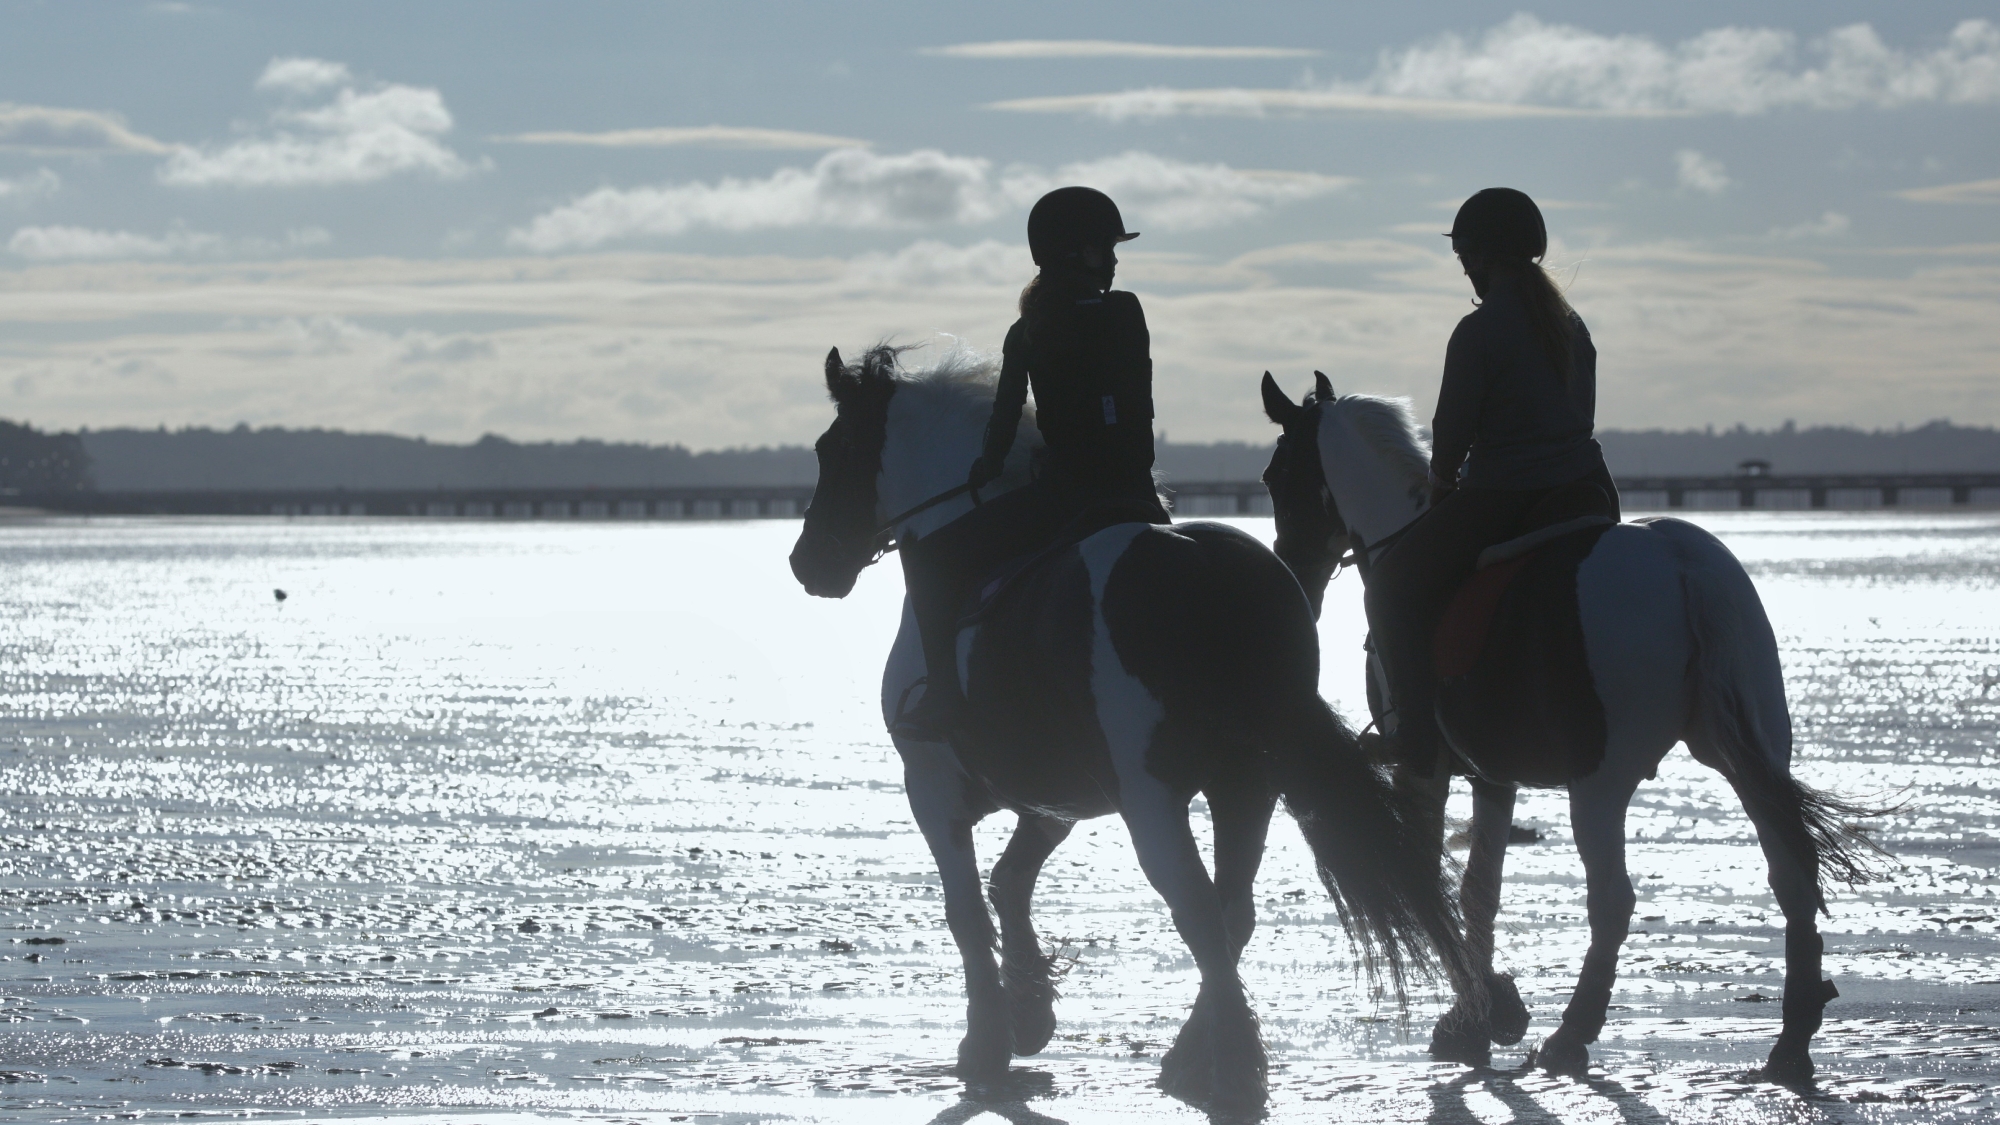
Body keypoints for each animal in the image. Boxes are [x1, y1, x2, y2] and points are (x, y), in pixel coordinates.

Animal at [788, 344, 1480, 1112]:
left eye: (829, 448)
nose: (807, 560)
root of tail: (1213, 570)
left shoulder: (932, 785)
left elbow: (967, 909)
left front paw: (988, 1041)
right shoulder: (1057, 797)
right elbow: (1009, 882)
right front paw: (1029, 1010)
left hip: (1157, 799)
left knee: (1199, 909)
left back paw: (1229, 1066)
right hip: (1246, 786)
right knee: (1231, 909)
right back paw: (1199, 1053)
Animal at [1256, 370, 1880, 1080]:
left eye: (1276, 476)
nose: (1294, 573)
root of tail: (1680, 561)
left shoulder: (1424, 763)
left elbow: (1427, 879)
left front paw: (1484, 1012)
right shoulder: (1490, 775)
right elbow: (1478, 891)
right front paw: (1475, 1016)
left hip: (1599, 783)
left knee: (1613, 900)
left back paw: (1572, 1032)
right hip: (1748, 756)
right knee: (1791, 875)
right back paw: (1792, 1039)